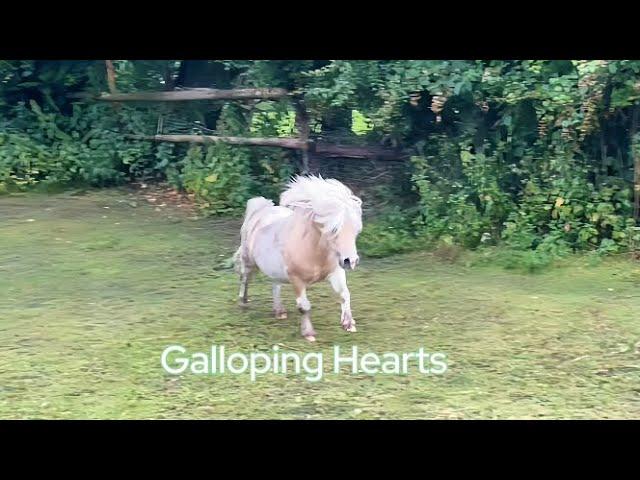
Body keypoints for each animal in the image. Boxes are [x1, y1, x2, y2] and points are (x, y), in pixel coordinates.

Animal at [235, 175, 364, 342]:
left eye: (356, 229)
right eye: (334, 229)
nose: (351, 261)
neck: (313, 251)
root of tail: (261, 209)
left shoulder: (336, 272)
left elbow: (344, 294)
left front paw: (348, 324)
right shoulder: (296, 280)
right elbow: (304, 307)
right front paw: (309, 333)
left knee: (275, 284)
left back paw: (279, 311)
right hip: (249, 262)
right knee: (245, 279)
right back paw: (243, 303)